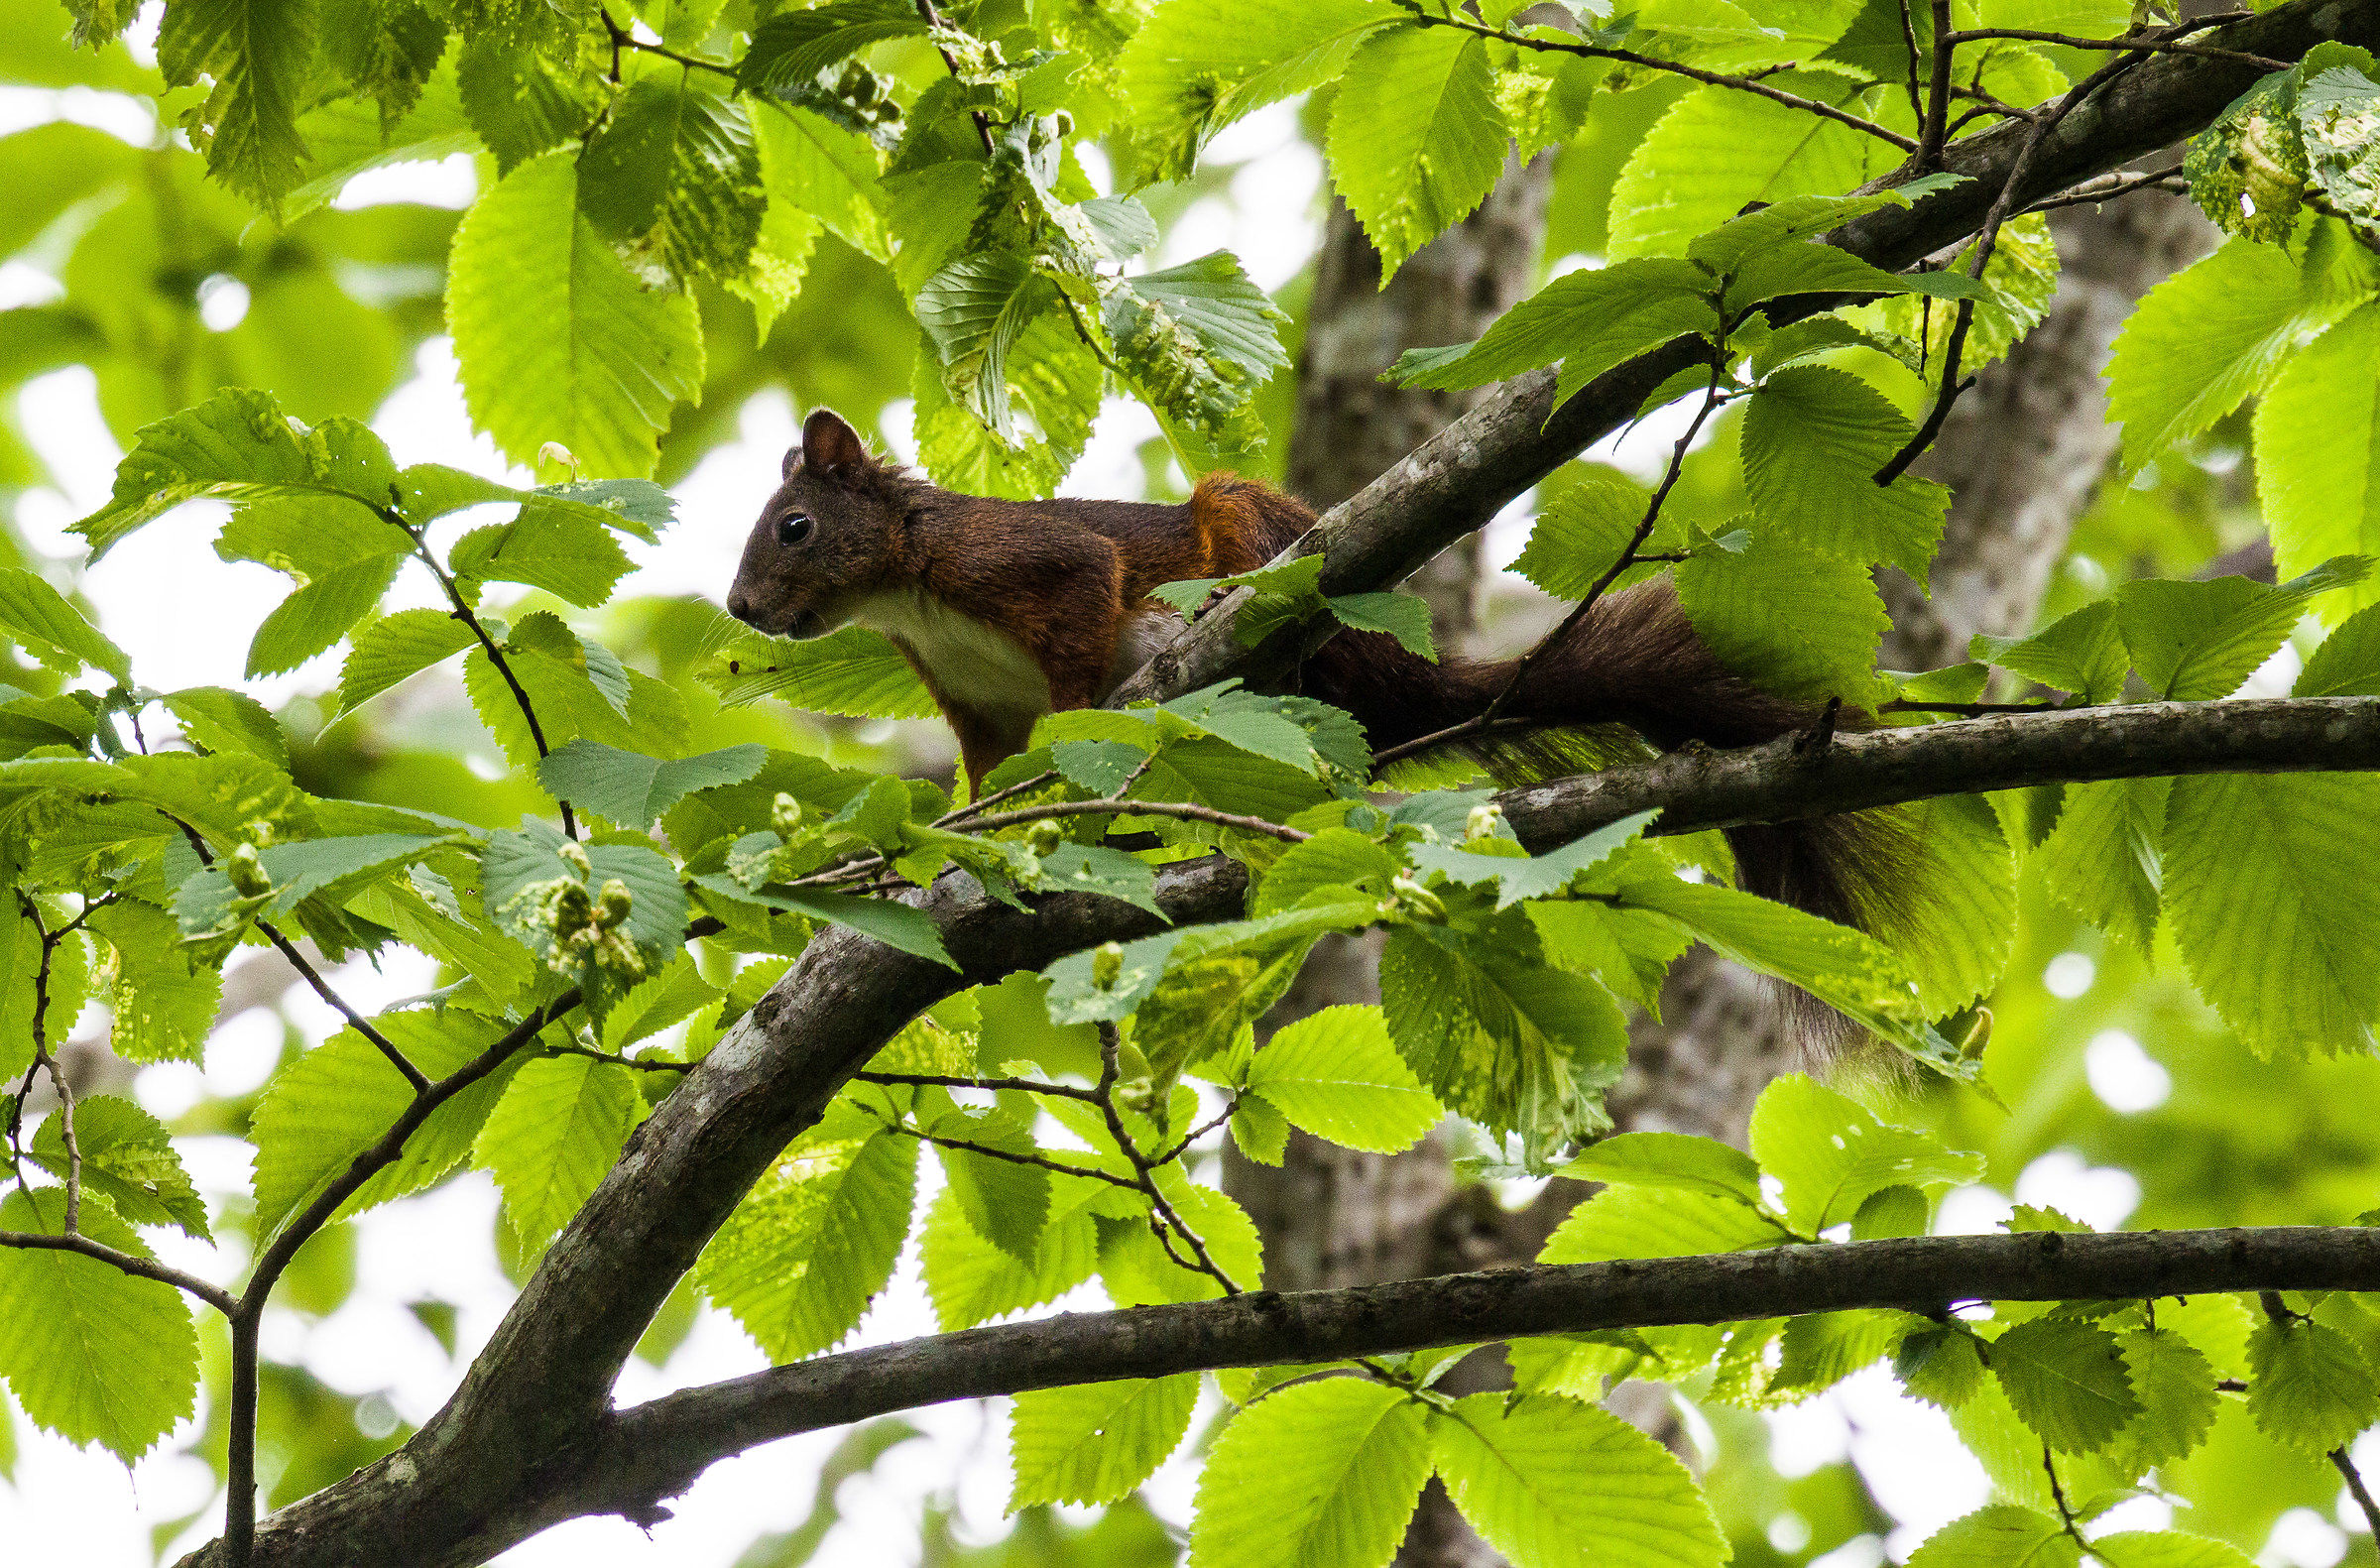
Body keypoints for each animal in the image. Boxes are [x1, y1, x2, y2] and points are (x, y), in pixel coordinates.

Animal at [727, 408, 1910, 937]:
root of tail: (1403, 683)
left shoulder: (1031, 567)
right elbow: (984, 776)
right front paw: (951, 848)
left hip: (1261, 541)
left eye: (793, 527)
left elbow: (1081, 637)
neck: (906, 589)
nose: (738, 609)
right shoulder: (972, 696)